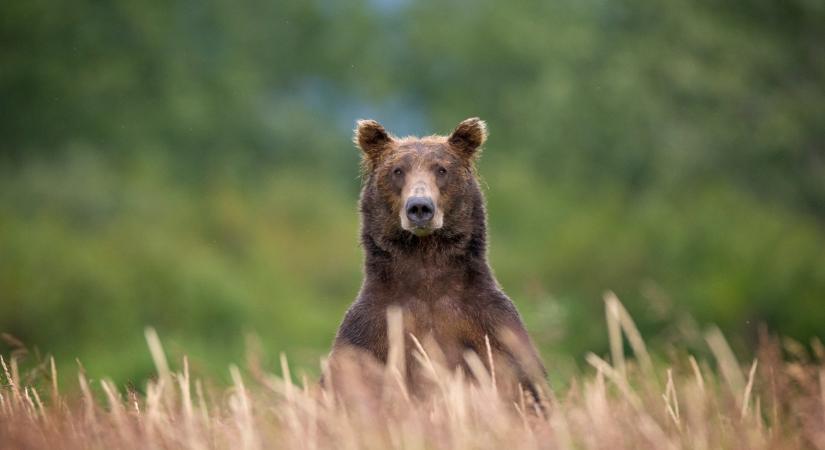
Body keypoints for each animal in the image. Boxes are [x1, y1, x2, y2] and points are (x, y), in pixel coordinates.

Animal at [326, 118, 544, 402]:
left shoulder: (490, 326)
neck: (426, 260)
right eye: (397, 170)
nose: (420, 207)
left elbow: (525, 387)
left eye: (441, 169)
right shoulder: (370, 332)